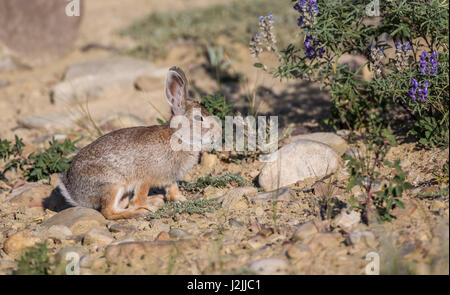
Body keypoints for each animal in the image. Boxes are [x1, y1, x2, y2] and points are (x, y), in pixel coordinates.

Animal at [57, 66, 222, 220]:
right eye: (199, 118)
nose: (219, 132)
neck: (177, 136)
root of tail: (71, 189)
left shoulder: (170, 178)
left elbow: (173, 191)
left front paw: (181, 199)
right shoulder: (145, 179)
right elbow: (138, 198)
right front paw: (144, 207)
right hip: (113, 184)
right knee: (108, 211)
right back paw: (141, 211)